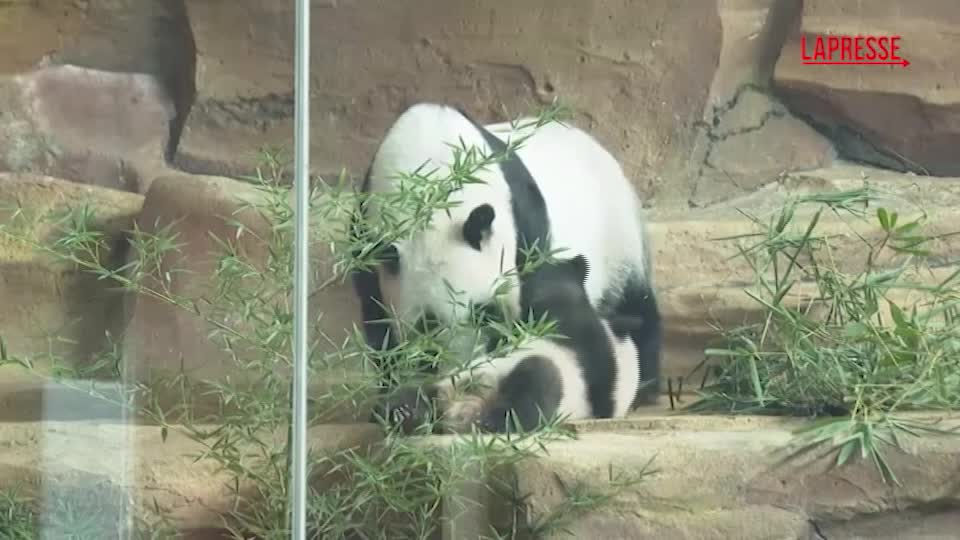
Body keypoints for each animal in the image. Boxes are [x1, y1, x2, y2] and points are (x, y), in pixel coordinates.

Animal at [350, 102, 662, 412]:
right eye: (429, 324)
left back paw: (646, 386)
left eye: (485, 314)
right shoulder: (366, 240)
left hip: (618, 236)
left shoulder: (524, 227)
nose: (464, 364)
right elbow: (380, 328)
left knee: (634, 303)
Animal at [378, 253, 646, 434]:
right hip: (447, 383)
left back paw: (491, 421)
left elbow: (555, 295)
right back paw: (402, 413)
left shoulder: (583, 340)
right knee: (417, 394)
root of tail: (457, 412)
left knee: (536, 384)